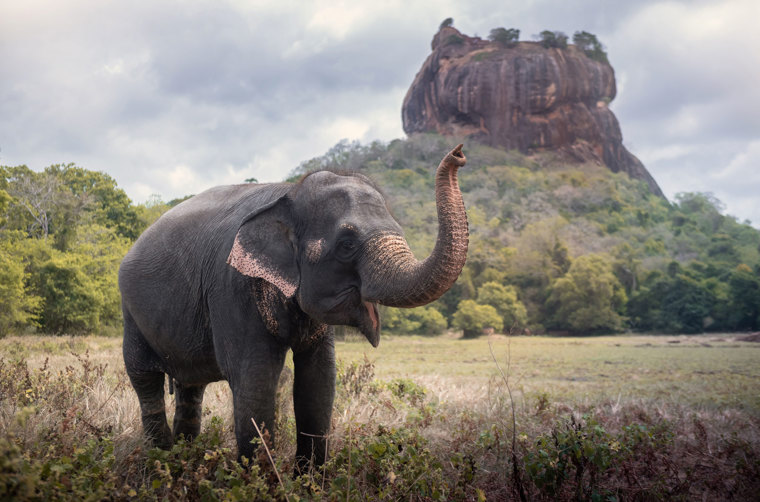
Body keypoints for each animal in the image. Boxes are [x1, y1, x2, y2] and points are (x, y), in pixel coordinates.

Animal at [119, 144, 470, 470]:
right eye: (346, 245)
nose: (459, 153)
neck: (287, 194)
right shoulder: (232, 287)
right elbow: (254, 380)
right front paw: (260, 481)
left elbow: (318, 381)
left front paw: (309, 482)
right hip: (130, 313)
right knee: (145, 380)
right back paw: (159, 461)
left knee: (191, 387)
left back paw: (183, 462)